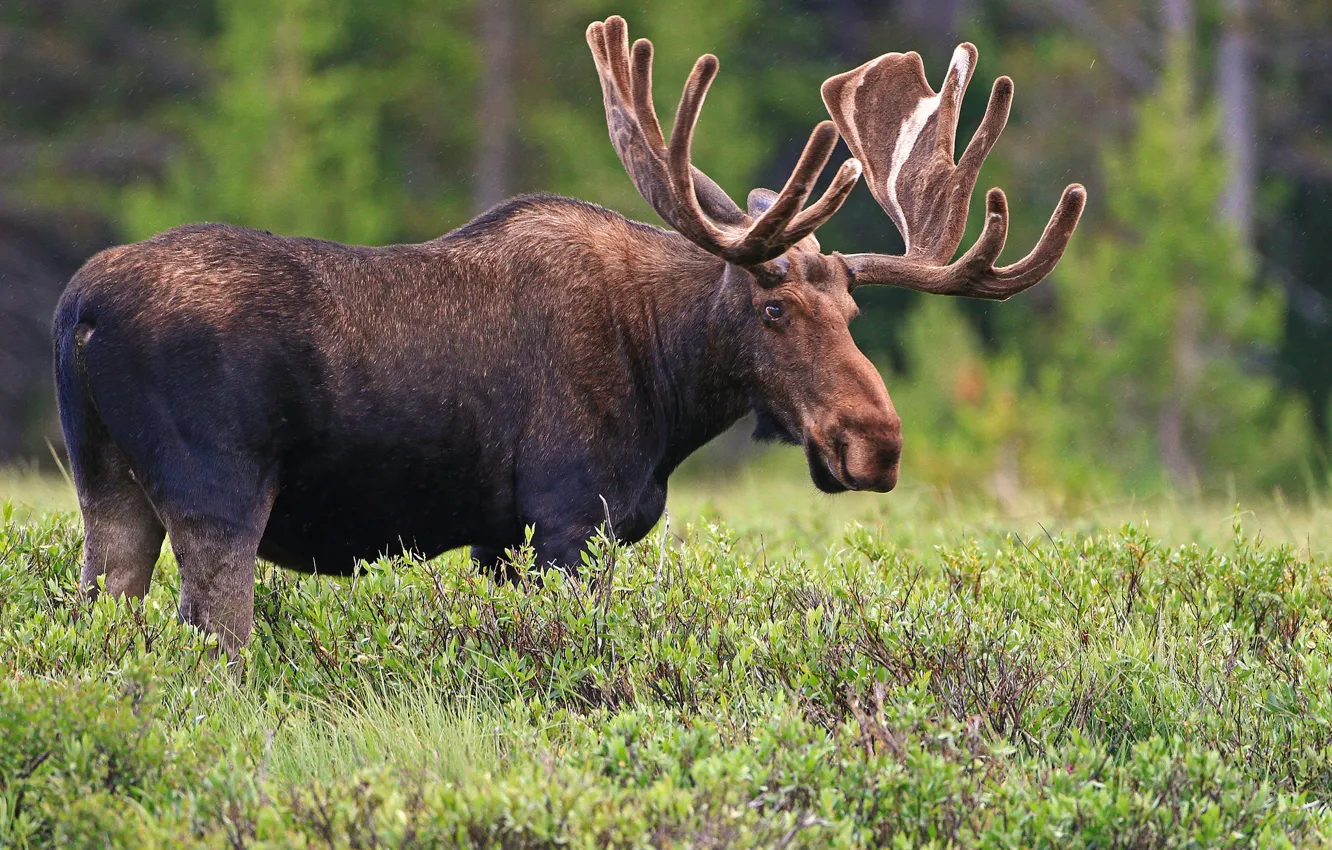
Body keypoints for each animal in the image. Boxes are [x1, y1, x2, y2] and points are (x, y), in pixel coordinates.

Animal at [57, 14, 1086, 660]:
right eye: (774, 309)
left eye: (854, 314)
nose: (876, 443)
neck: (669, 389)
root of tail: (79, 309)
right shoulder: (565, 520)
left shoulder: (501, 541)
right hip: (218, 494)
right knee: (213, 648)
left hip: (109, 490)